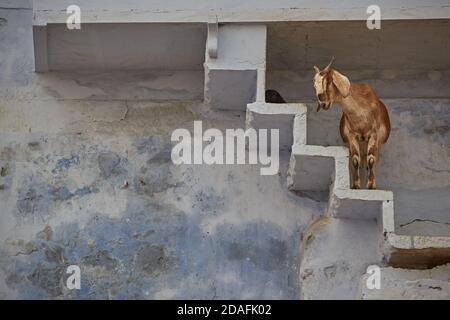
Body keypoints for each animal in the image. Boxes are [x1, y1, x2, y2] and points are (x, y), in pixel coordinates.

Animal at [312, 58, 390, 189]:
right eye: (314, 85)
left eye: (328, 81)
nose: (323, 103)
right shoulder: (351, 135)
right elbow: (355, 160)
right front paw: (356, 185)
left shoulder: (374, 135)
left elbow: (371, 160)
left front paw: (370, 186)